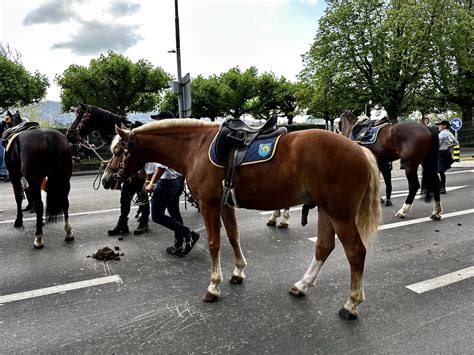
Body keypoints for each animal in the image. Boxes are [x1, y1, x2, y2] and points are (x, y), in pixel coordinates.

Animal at [103, 119, 382, 320]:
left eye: (117, 150)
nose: (106, 179)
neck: (195, 147)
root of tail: (359, 149)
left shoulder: (209, 204)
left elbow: (214, 243)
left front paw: (213, 286)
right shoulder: (225, 205)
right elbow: (233, 236)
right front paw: (238, 271)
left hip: (340, 213)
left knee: (355, 252)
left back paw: (351, 303)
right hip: (325, 209)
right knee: (324, 247)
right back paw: (302, 285)